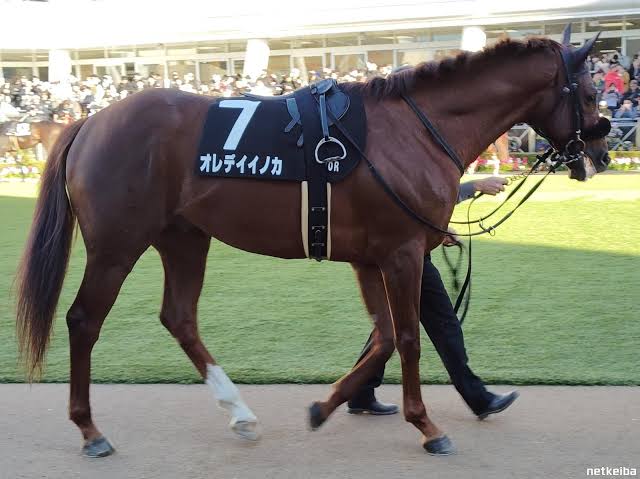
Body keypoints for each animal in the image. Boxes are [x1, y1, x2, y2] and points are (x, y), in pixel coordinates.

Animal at [15, 30, 610, 458]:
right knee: (84, 320)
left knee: (178, 317)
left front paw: (326, 407)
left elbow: (384, 338)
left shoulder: (371, 258)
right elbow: (409, 338)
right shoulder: (402, 253)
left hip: (184, 238)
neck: (413, 130)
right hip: (117, 245)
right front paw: (427, 426)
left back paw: (241, 414)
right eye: (588, 91)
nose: (602, 154)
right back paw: (91, 430)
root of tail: (90, 120)